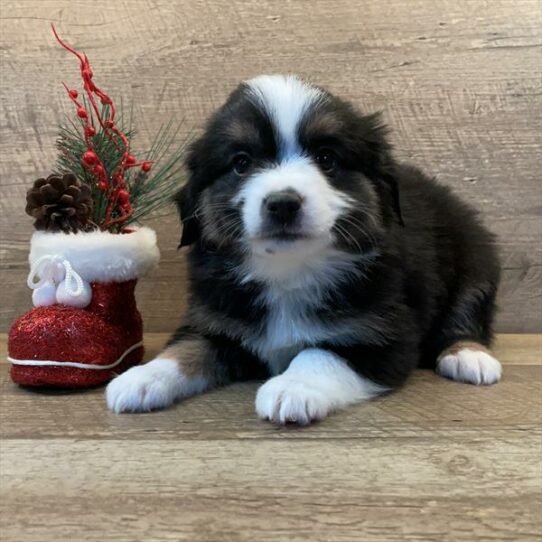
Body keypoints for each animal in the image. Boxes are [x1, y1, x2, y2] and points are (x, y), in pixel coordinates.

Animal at [107, 75, 506, 424]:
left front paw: (292, 388)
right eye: (241, 163)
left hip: (476, 260)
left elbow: (319, 352)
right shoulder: (216, 319)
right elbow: (186, 347)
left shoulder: (382, 334)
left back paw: (468, 356)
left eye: (326, 158)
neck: (289, 270)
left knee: (467, 314)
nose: (283, 203)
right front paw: (142, 378)